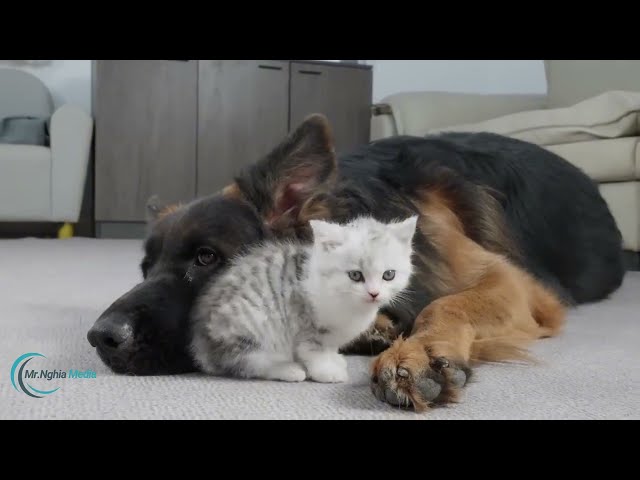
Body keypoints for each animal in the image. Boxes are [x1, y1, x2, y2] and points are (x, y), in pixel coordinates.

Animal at [89, 114, 624, 410]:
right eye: (146, 269)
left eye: (206, 258)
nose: (100, 338)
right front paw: (377, 330)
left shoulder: (511, 283)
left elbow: (444, 304)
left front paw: (418, 352)